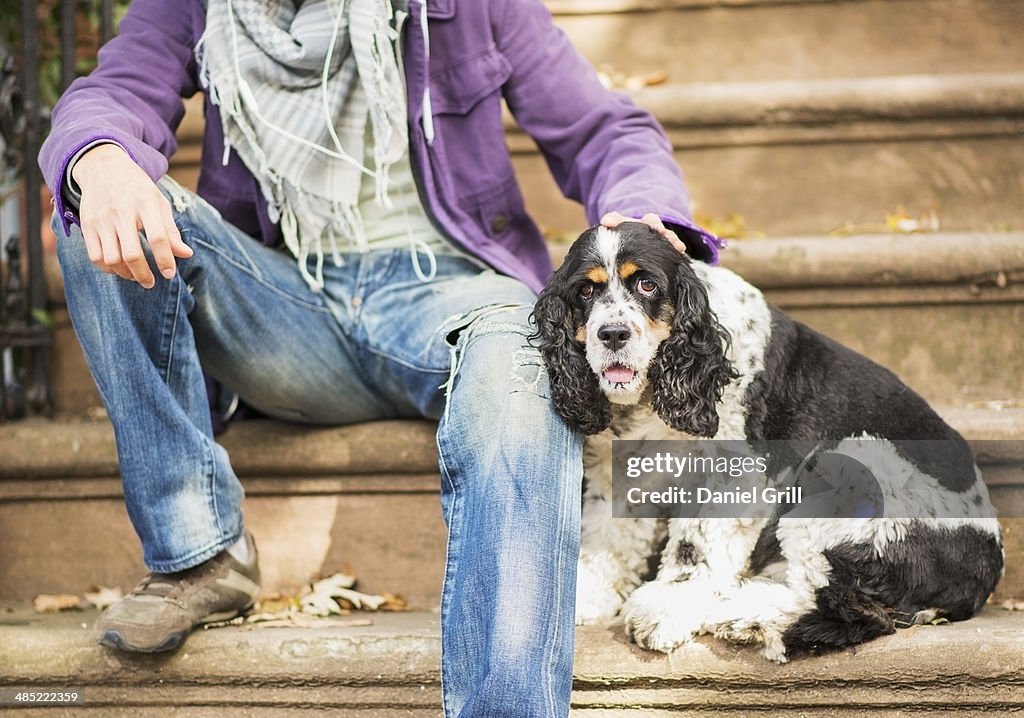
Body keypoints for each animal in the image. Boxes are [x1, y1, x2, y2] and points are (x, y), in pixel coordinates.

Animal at [532, 224, 1003, 659]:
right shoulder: (624, 471)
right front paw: (583, 595)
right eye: (586, 290)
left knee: (847, 605)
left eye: (646, 284)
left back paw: (744, 616)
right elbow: (608, 539)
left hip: (850, 465)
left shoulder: (731, 477)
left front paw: (666, 606)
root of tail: (985, 571)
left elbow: (694, 546)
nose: (612, 334)